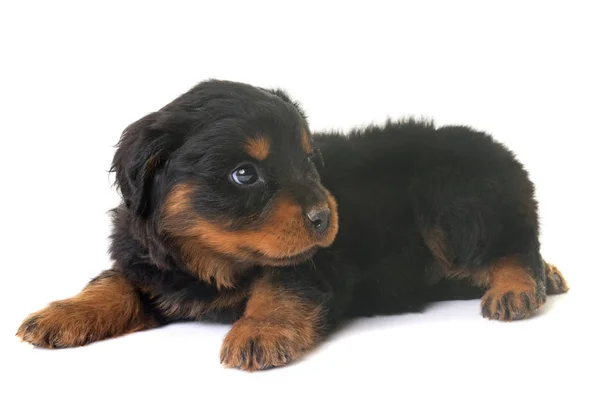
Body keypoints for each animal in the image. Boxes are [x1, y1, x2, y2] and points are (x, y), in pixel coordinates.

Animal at [15, 79, 568, 372]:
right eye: (245, 174)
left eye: (308, 162)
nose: (324, 217)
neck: (210, 261)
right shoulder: (149, 261)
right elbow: (114, 281)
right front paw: (61, 314)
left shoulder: (319, 263)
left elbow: (282, 283)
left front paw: (258, 331)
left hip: (454, 198)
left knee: (516, 244)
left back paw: (519, 288)